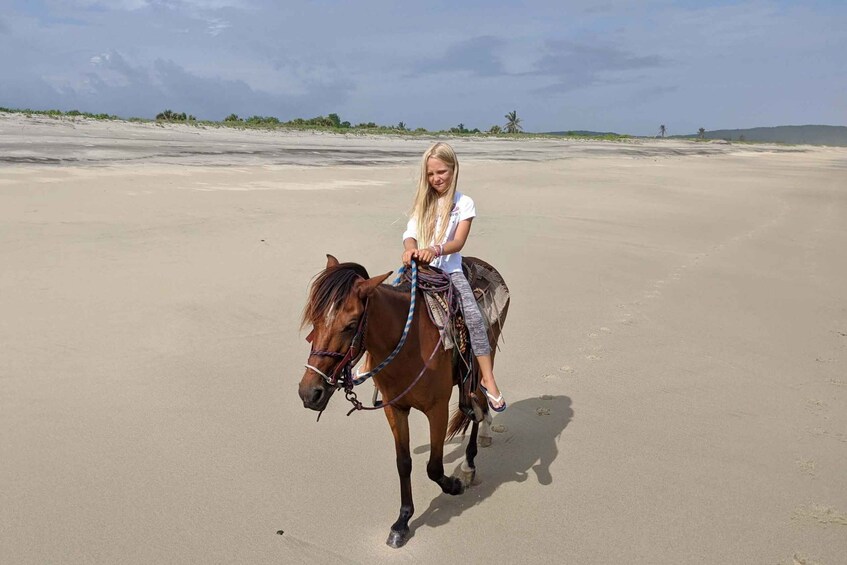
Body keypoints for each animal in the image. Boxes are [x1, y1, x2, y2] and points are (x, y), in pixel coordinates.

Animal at [300, 254, 510, 548]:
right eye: (315, 321)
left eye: (351, 326)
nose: (310, 393)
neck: (408, 344)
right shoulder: (395, 409)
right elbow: (404, 463)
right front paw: (402, 521)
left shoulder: (437, 409)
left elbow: (434, 467)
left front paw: (454, 486)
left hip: (484, 358)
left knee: (477, 406)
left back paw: (470, 463)